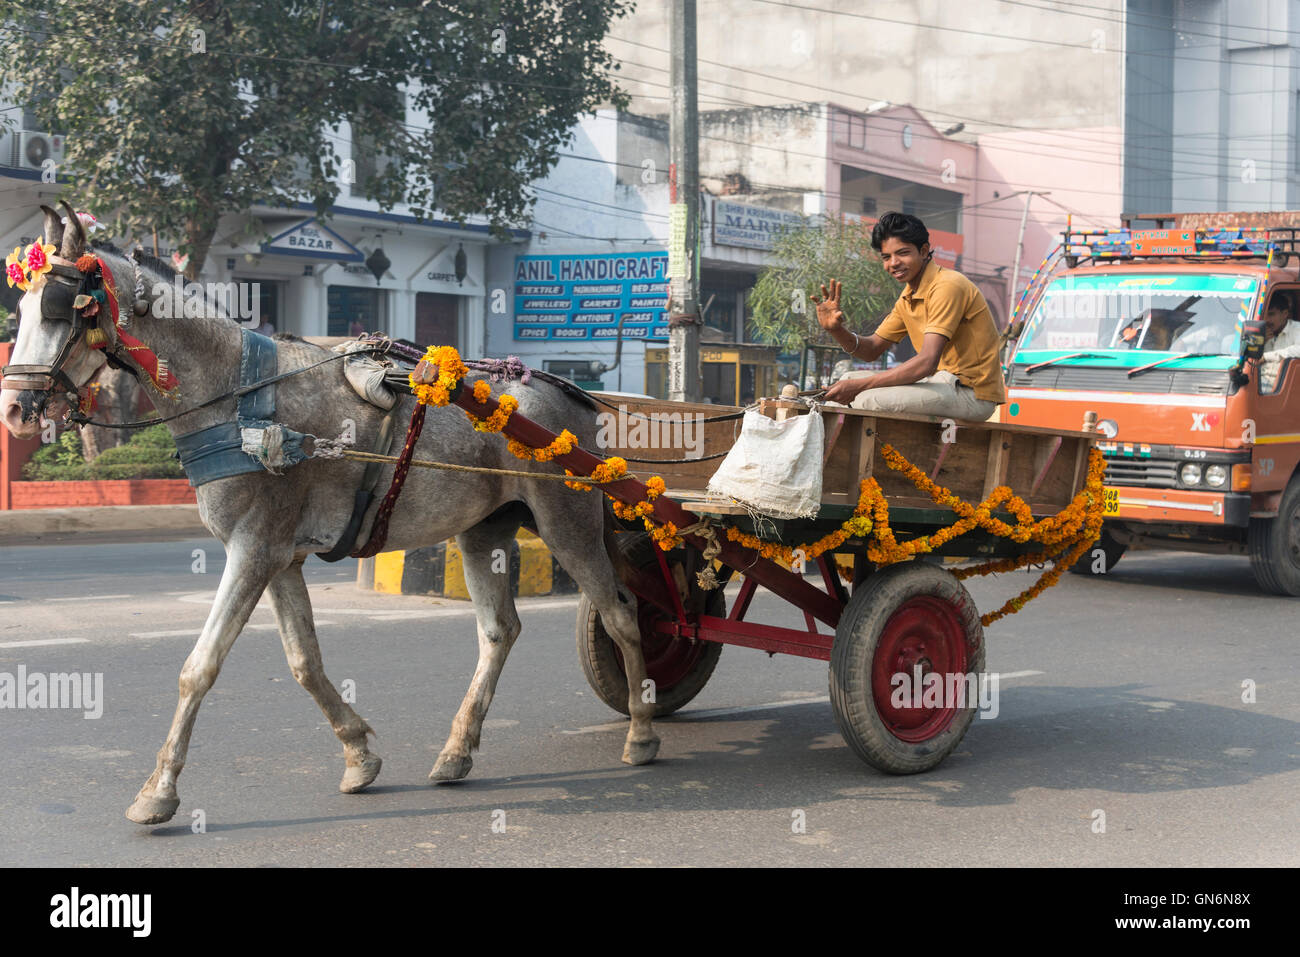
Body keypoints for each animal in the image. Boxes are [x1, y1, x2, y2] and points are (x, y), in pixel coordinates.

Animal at [0, 205, 655, 826]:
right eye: (21, 307)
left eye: (59, 309)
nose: (15, 410)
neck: (238, 395)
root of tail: (571, 394)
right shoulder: (279, 556)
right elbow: (304, 663)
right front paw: (359, 753)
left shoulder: (254, 549)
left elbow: (199, 666)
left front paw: (157, 792)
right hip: (484, 530)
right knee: (499, 631)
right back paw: (457, 750)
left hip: (567, 519)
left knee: (621, 613)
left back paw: (642, 730)